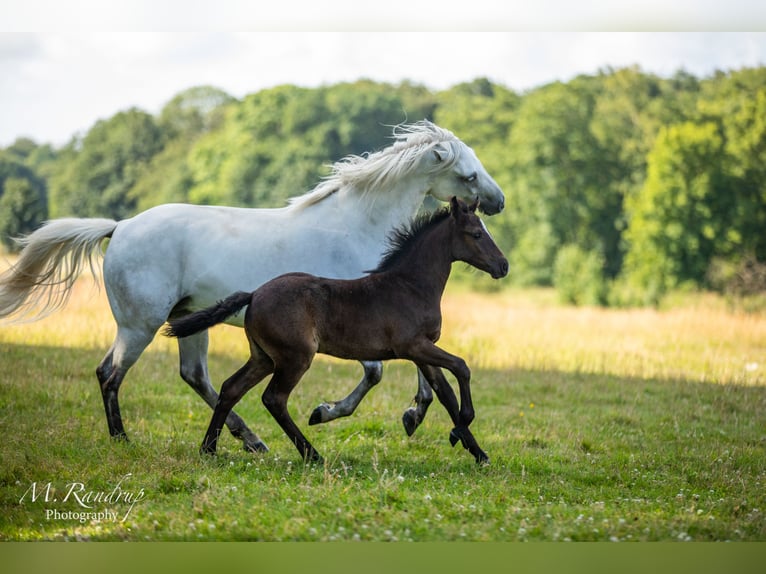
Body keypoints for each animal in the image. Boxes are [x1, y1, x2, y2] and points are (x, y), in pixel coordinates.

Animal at [1, 122, 504, 454]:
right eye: (469, 174)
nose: (497, 201)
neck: (359, 226)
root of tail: (119, 226)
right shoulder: (367, 328)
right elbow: (379, 374)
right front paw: (327, 412)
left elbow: (422, 374)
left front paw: (420, 418)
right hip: (138, 326)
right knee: (111, 374)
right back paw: (124, 439)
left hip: (184, 321)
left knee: (197, 377)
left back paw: (249, 440)